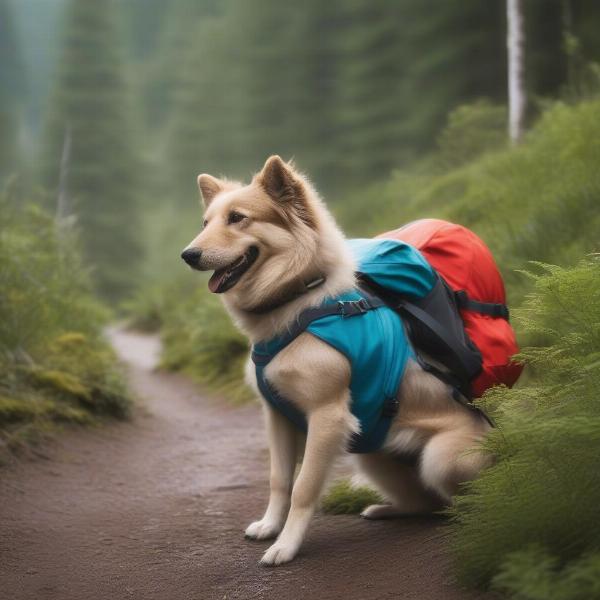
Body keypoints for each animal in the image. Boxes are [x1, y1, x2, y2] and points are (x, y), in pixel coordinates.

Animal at [180, 156, 490, 568]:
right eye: (205, 223)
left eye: (237, 218)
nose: (188, 255)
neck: (295, 303)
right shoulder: (277, 415)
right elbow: (279, 480)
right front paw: (269, 526)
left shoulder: (326, 417)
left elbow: (303, 488)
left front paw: (286, 546)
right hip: (372, 455)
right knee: (425, 502)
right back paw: (386, 509)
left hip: (438, 457)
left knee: (455, 500)